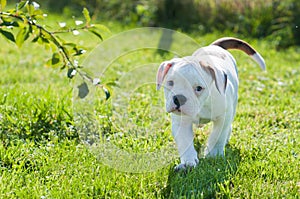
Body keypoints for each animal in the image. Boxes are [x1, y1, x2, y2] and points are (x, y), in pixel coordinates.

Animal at [157, 37, 264, 169]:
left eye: (199, 88)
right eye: (170, 83)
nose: (179, 98)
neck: (202, 105)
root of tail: (215, 46)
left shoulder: (223, 117)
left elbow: (217, 136)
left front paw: (214, 154)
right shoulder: (181, 122)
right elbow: (184, 140)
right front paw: (188, 161)